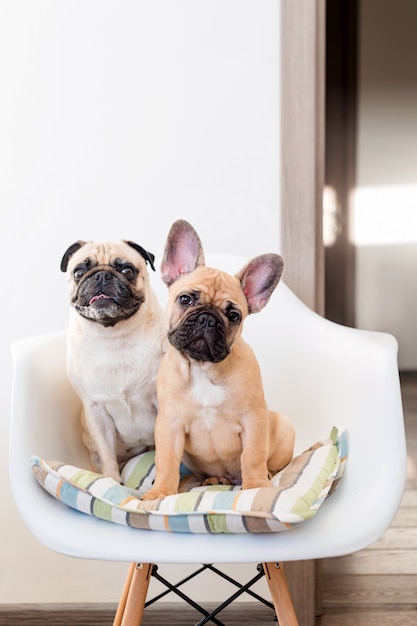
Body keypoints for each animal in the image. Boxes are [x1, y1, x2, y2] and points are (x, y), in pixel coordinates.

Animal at [61, 238, 166, 478]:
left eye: (127, 270)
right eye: (79, 272)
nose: (101, 276)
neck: (115, 337)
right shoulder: (96, 413)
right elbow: (107, 455)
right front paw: (112, 480)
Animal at [141, 219, 294, 498]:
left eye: (233, 315)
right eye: (186, 299)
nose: (207, 318)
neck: (203, 369)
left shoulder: (254, 419)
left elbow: (252, 457)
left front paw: (256, 487)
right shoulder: (169, 425)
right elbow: (166, 462)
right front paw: (161, 492)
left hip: (283, 428)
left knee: (269, 464)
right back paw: (214, 480)